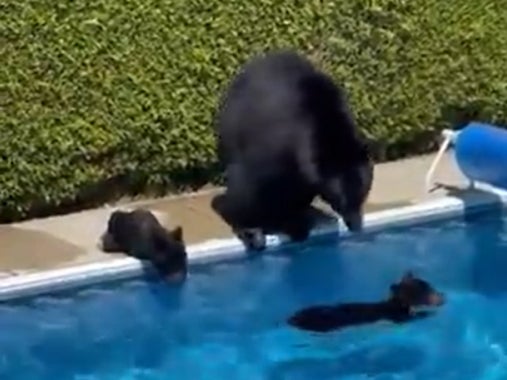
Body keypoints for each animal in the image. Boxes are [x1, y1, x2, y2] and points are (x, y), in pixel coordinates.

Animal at [212, 51, 376, 252]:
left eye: (363, 194)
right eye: (340, 200)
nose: (356, 225)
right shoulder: (273, 144)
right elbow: (248, 190)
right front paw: (250, 228)